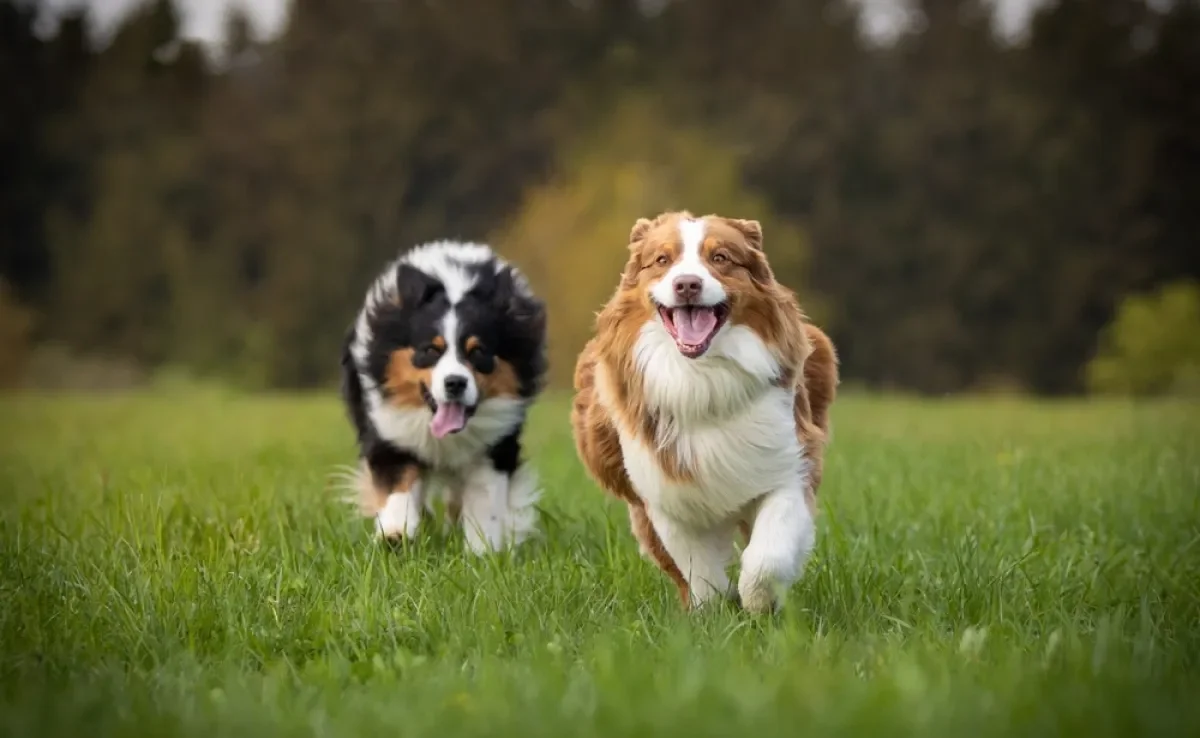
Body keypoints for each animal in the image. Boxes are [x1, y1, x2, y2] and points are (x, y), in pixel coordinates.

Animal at [343, 242, 549, 554]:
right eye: (430, 350)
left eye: (478, 351)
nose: (455, 383)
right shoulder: (389, 431)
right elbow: (398, 483)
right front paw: (395, 533)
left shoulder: (495, 445)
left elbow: (484, 499)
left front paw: (483, 551)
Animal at [568, 208, 835, 612]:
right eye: (662, 260)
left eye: (720, 258)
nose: (687, 285)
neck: (700, 376)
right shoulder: (664, 494)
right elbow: (699, 571)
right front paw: (715, 612)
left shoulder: (789, 463)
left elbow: (768, 555)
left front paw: (760, 601)